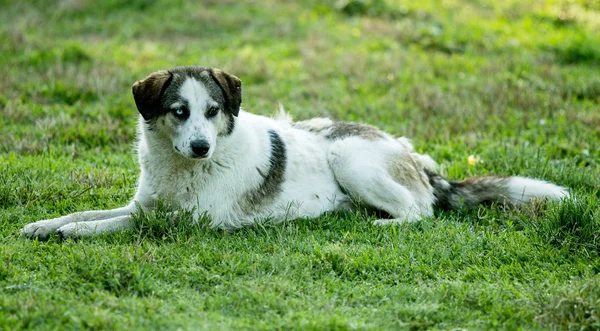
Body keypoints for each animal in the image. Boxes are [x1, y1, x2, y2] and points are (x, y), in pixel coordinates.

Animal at [21, 65, 568, 241]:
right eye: (179, 111)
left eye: (213, 111)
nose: (201, 146)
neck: (183, 167)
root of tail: (414, 156)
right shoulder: (146, 204)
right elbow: (93, 212)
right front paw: (45, 225)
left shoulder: (188, 221)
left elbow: (113, 225)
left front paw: (70, 234)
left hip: (351, 160)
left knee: (421, 211)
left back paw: (380, 226)